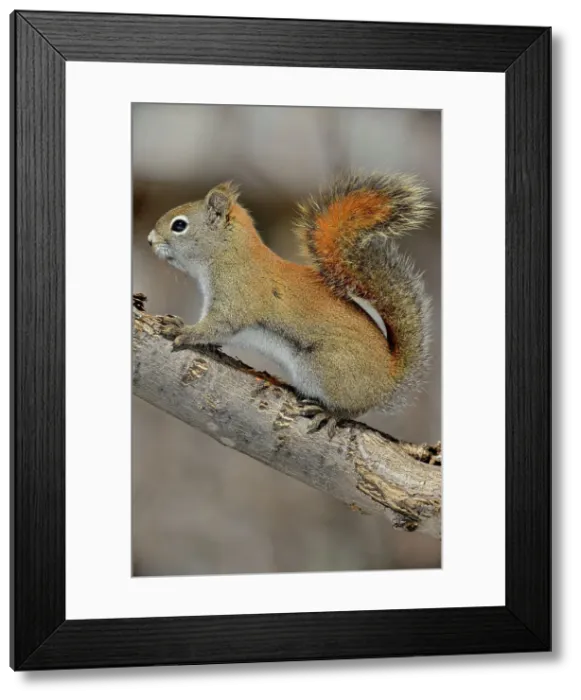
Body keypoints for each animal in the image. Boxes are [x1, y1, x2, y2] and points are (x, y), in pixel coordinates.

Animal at [147, 171, 433, 438]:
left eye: (179, 225)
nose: (150, 240)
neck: (230, 254)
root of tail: (390, 380)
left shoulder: (236, 298)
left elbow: (218, 326)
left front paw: (183, 331)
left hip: (325, 369)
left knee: (353, 408)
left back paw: (330, 413)